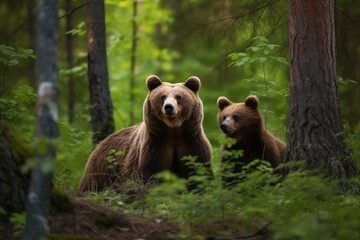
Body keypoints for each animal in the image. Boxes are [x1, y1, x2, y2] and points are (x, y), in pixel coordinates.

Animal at [79, 75, 211, 191]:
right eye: (163, 96)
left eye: (178, 97)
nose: (169, 107)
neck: (173, 129)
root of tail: (99, 145)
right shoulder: (155, 143)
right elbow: (152, 170)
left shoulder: (190, 140)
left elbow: (198, 169)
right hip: (102, 168)